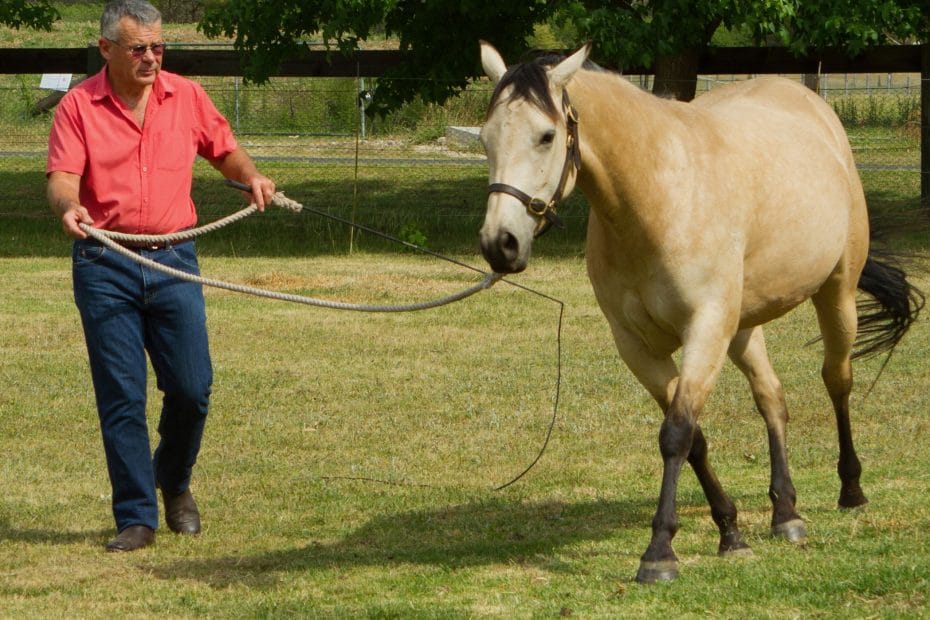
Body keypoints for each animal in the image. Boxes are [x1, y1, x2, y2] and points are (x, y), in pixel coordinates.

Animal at [477, 41, 924, 583]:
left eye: (545, 136)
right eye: (486, 137)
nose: (500, 244)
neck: (655, 199)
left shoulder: (704, 330)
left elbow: (676, 434)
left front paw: (659, 553)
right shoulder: (638, 347)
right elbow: (694, 439)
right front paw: (730, 531)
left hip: (834, 295)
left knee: (837, 381)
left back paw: (851, 489)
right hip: (743, 327)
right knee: (772, 397)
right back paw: (786, 513)